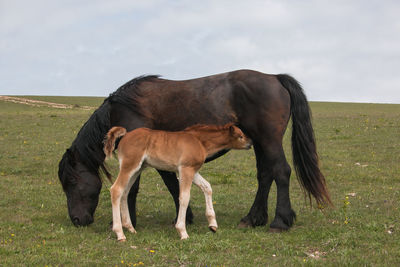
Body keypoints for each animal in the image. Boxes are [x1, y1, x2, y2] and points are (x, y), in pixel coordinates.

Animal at [104, 123, 253, 243]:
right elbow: (184, 197)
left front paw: (213, 224)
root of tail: (125, 136)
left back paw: (130, 228)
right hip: (129, 166)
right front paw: (182, 232)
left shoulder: (192, 170)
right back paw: (120, 233)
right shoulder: (186, 169)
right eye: (240, 136)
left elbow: (207, 187)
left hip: (138, 169)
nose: (250, 143)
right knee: (116, 189)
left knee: (124, 192)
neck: (199, 141)